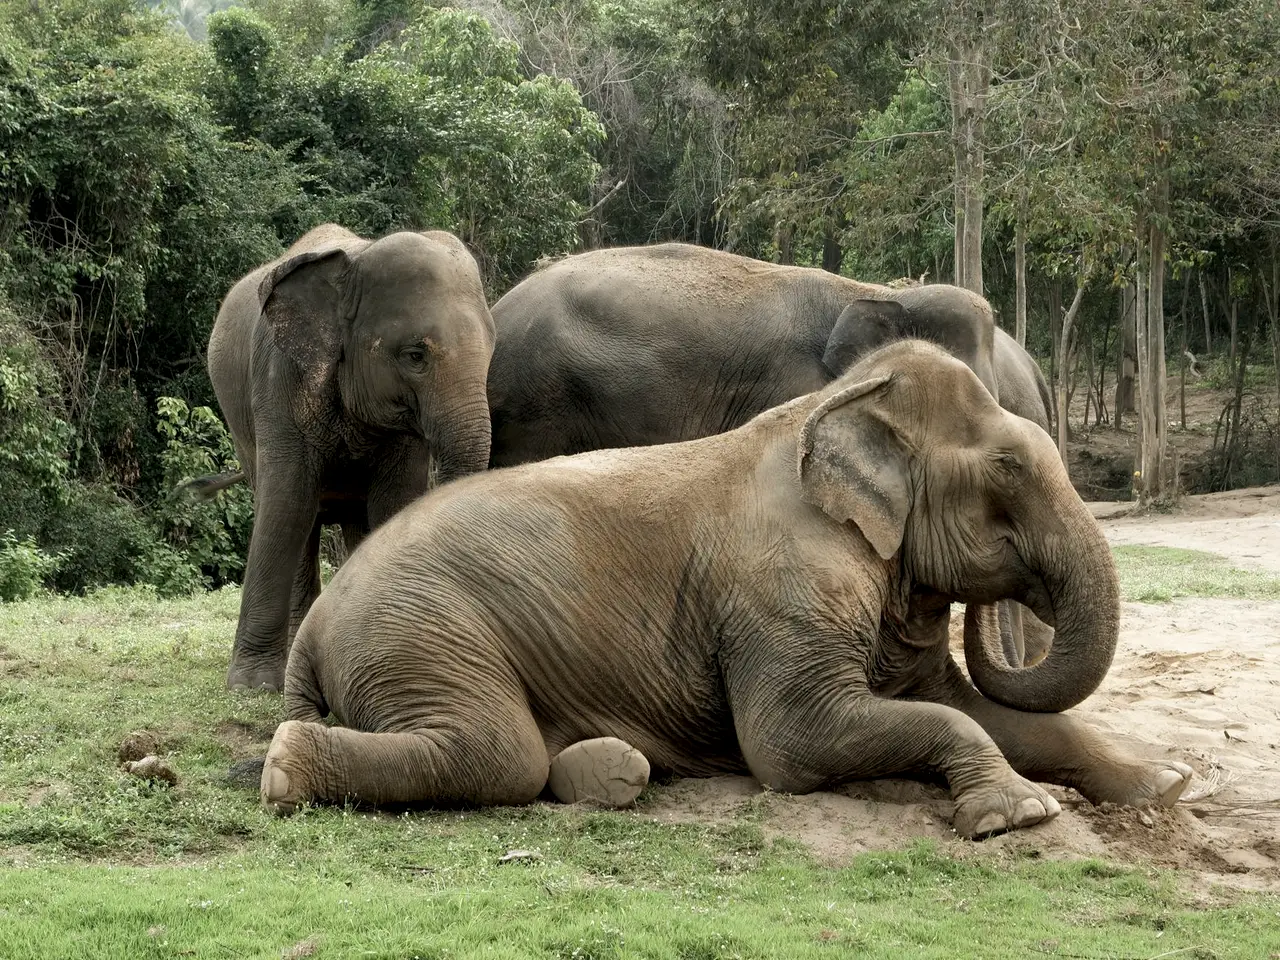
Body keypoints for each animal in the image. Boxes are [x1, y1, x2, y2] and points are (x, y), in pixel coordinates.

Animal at [206, 223, 495, 692]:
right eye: (415, 355)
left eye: (492, 350)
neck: (354, 262)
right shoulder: (280, 379)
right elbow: (286, 504)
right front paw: (252, 686)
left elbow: (394, 504)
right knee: (298, 519)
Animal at [260, 339, 1192, 839]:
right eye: (1007, 467)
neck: (833, 405)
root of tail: (320, 622)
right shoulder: (781, 593)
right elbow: (794, 743)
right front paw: (1017, 816)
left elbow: (978, 710)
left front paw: (1164, 783)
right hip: (418, 631)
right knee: (497, 750)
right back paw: (284, 767)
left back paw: (615, 773)